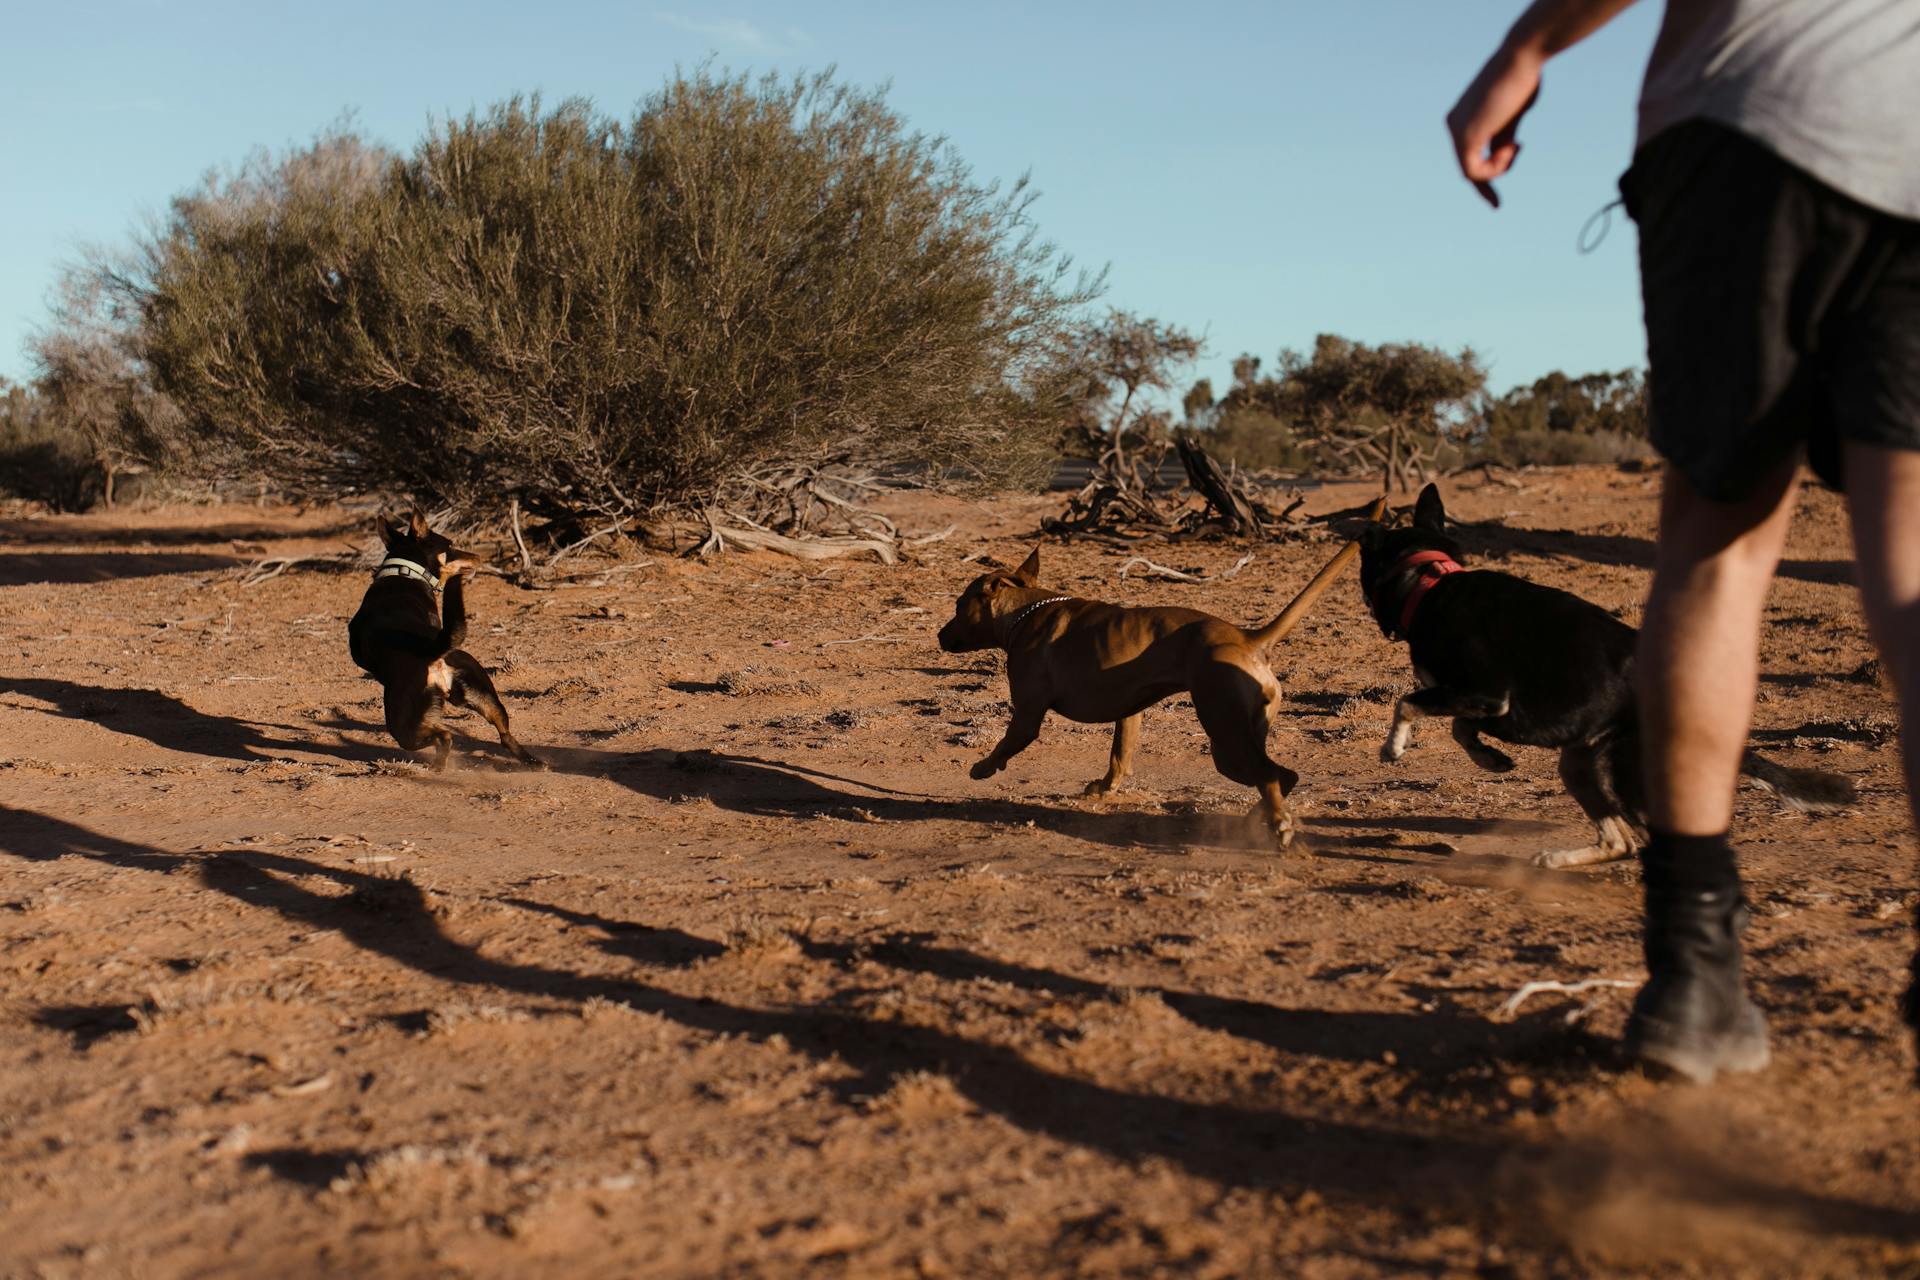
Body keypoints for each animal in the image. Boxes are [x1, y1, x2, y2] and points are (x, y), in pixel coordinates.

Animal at [933, 521, 1374, 852]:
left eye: (958, 605)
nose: (939, 635)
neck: (1025, 611)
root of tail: (1248, 639)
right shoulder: (1130, 712)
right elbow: (1119, 758)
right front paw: (1102, 789)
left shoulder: (1027, 714)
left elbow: (1008, 742)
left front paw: (984, 768)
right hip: (1239, 741)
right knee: (1284, 776)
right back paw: (1268, 820)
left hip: (1226, 738)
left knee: (1269, 775)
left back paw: (1279, 827)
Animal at [1359, 483, 1850, 871]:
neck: (1429, 582)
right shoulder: (1483, 702)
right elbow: (1461, 728)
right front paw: (1492, 759)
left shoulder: (1486, 692)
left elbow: (1409, 702)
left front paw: (1393, 747)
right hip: (1582, 762)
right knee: (1619, 840)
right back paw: (1559, 859)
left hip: (1616, 772)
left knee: (1643, 840)